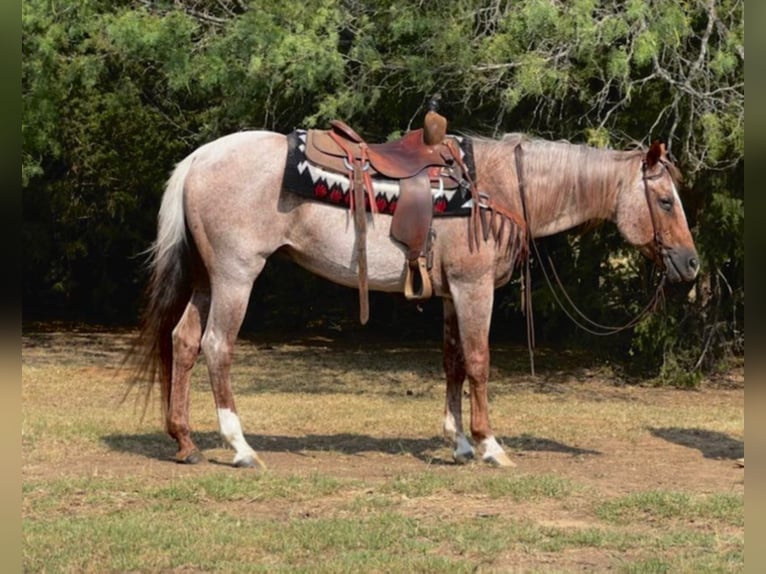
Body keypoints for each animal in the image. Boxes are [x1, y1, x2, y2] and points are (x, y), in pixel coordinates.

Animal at [132, 128, 704, 470]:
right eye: (665, 200)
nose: (691, 265)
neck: (497, 188)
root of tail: (199, 158)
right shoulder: (474, 288)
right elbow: (479, 361)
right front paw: (490, 446)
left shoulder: (452, 293)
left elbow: (452, 362)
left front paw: (460, 443)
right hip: (235, 276)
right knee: (217, 346)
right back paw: (241, 447)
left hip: (207, 279)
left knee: (184, 341)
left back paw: (185, 442)